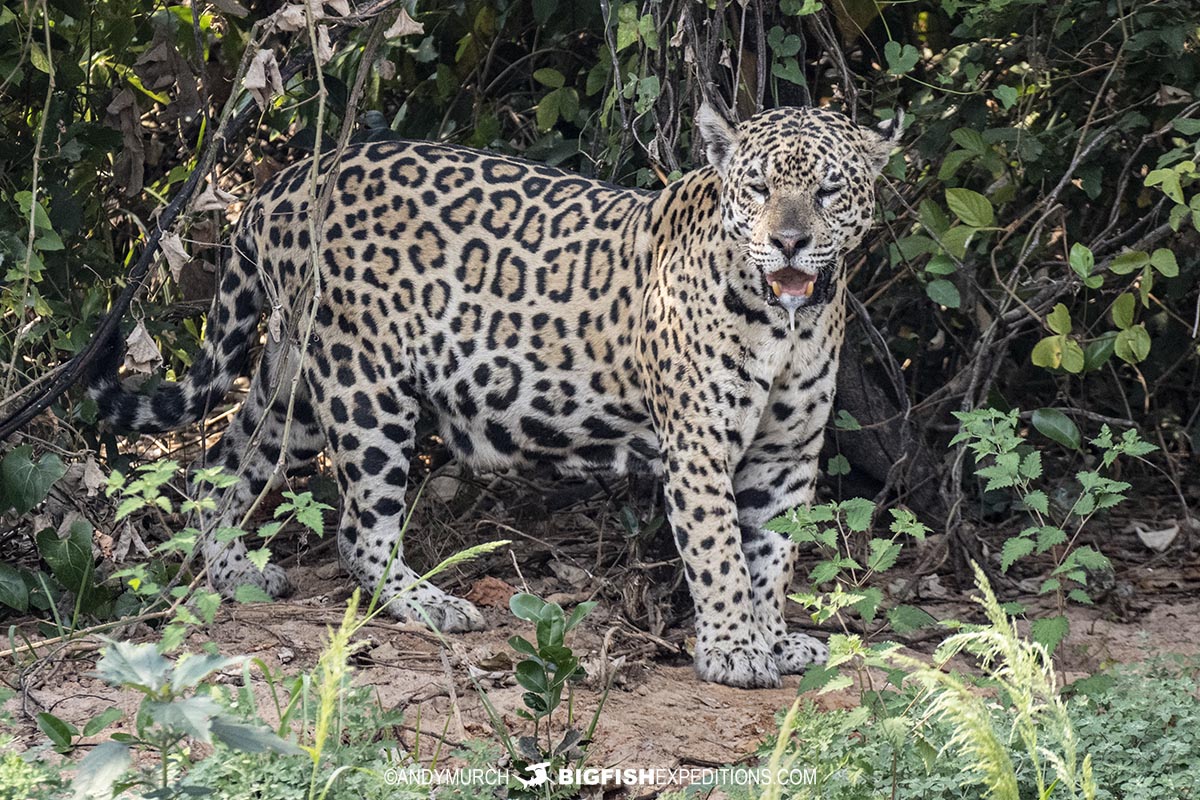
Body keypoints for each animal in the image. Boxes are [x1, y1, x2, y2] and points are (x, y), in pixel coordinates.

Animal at [90, 102, 902, 688]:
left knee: (219, 467)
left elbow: (772, 558)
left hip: (294, 385)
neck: (786, 321)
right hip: (365, 387)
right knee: (357, 526)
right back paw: (430, 604)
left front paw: (773, 640)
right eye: (758, 188)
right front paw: (733, 651)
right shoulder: (699, 446)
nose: (790, 242)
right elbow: (721, 553)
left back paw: (236, 574)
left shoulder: (787, 457)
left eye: (828, 190)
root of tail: (276, 187)